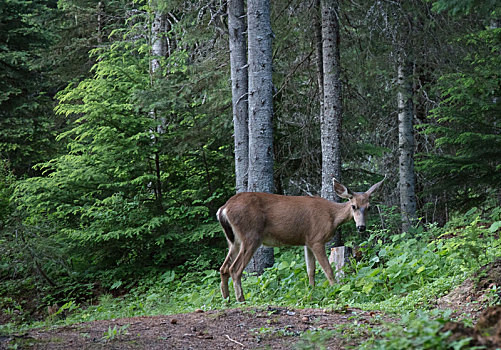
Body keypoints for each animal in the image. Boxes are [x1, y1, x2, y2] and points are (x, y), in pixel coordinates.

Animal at [217, 176, 384, 302]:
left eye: (369, 207)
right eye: (353, 206)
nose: (361, 227)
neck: (332, 217)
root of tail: (223, 209)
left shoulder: (307, 241)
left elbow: (311, 270)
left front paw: (311, 292)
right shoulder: (317, 239)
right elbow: (328, 269)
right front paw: (336, 290)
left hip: (233, 240)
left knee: (223, 268)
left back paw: (227, 300)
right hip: (251, 236)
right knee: (234, 269)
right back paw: (241, 300)